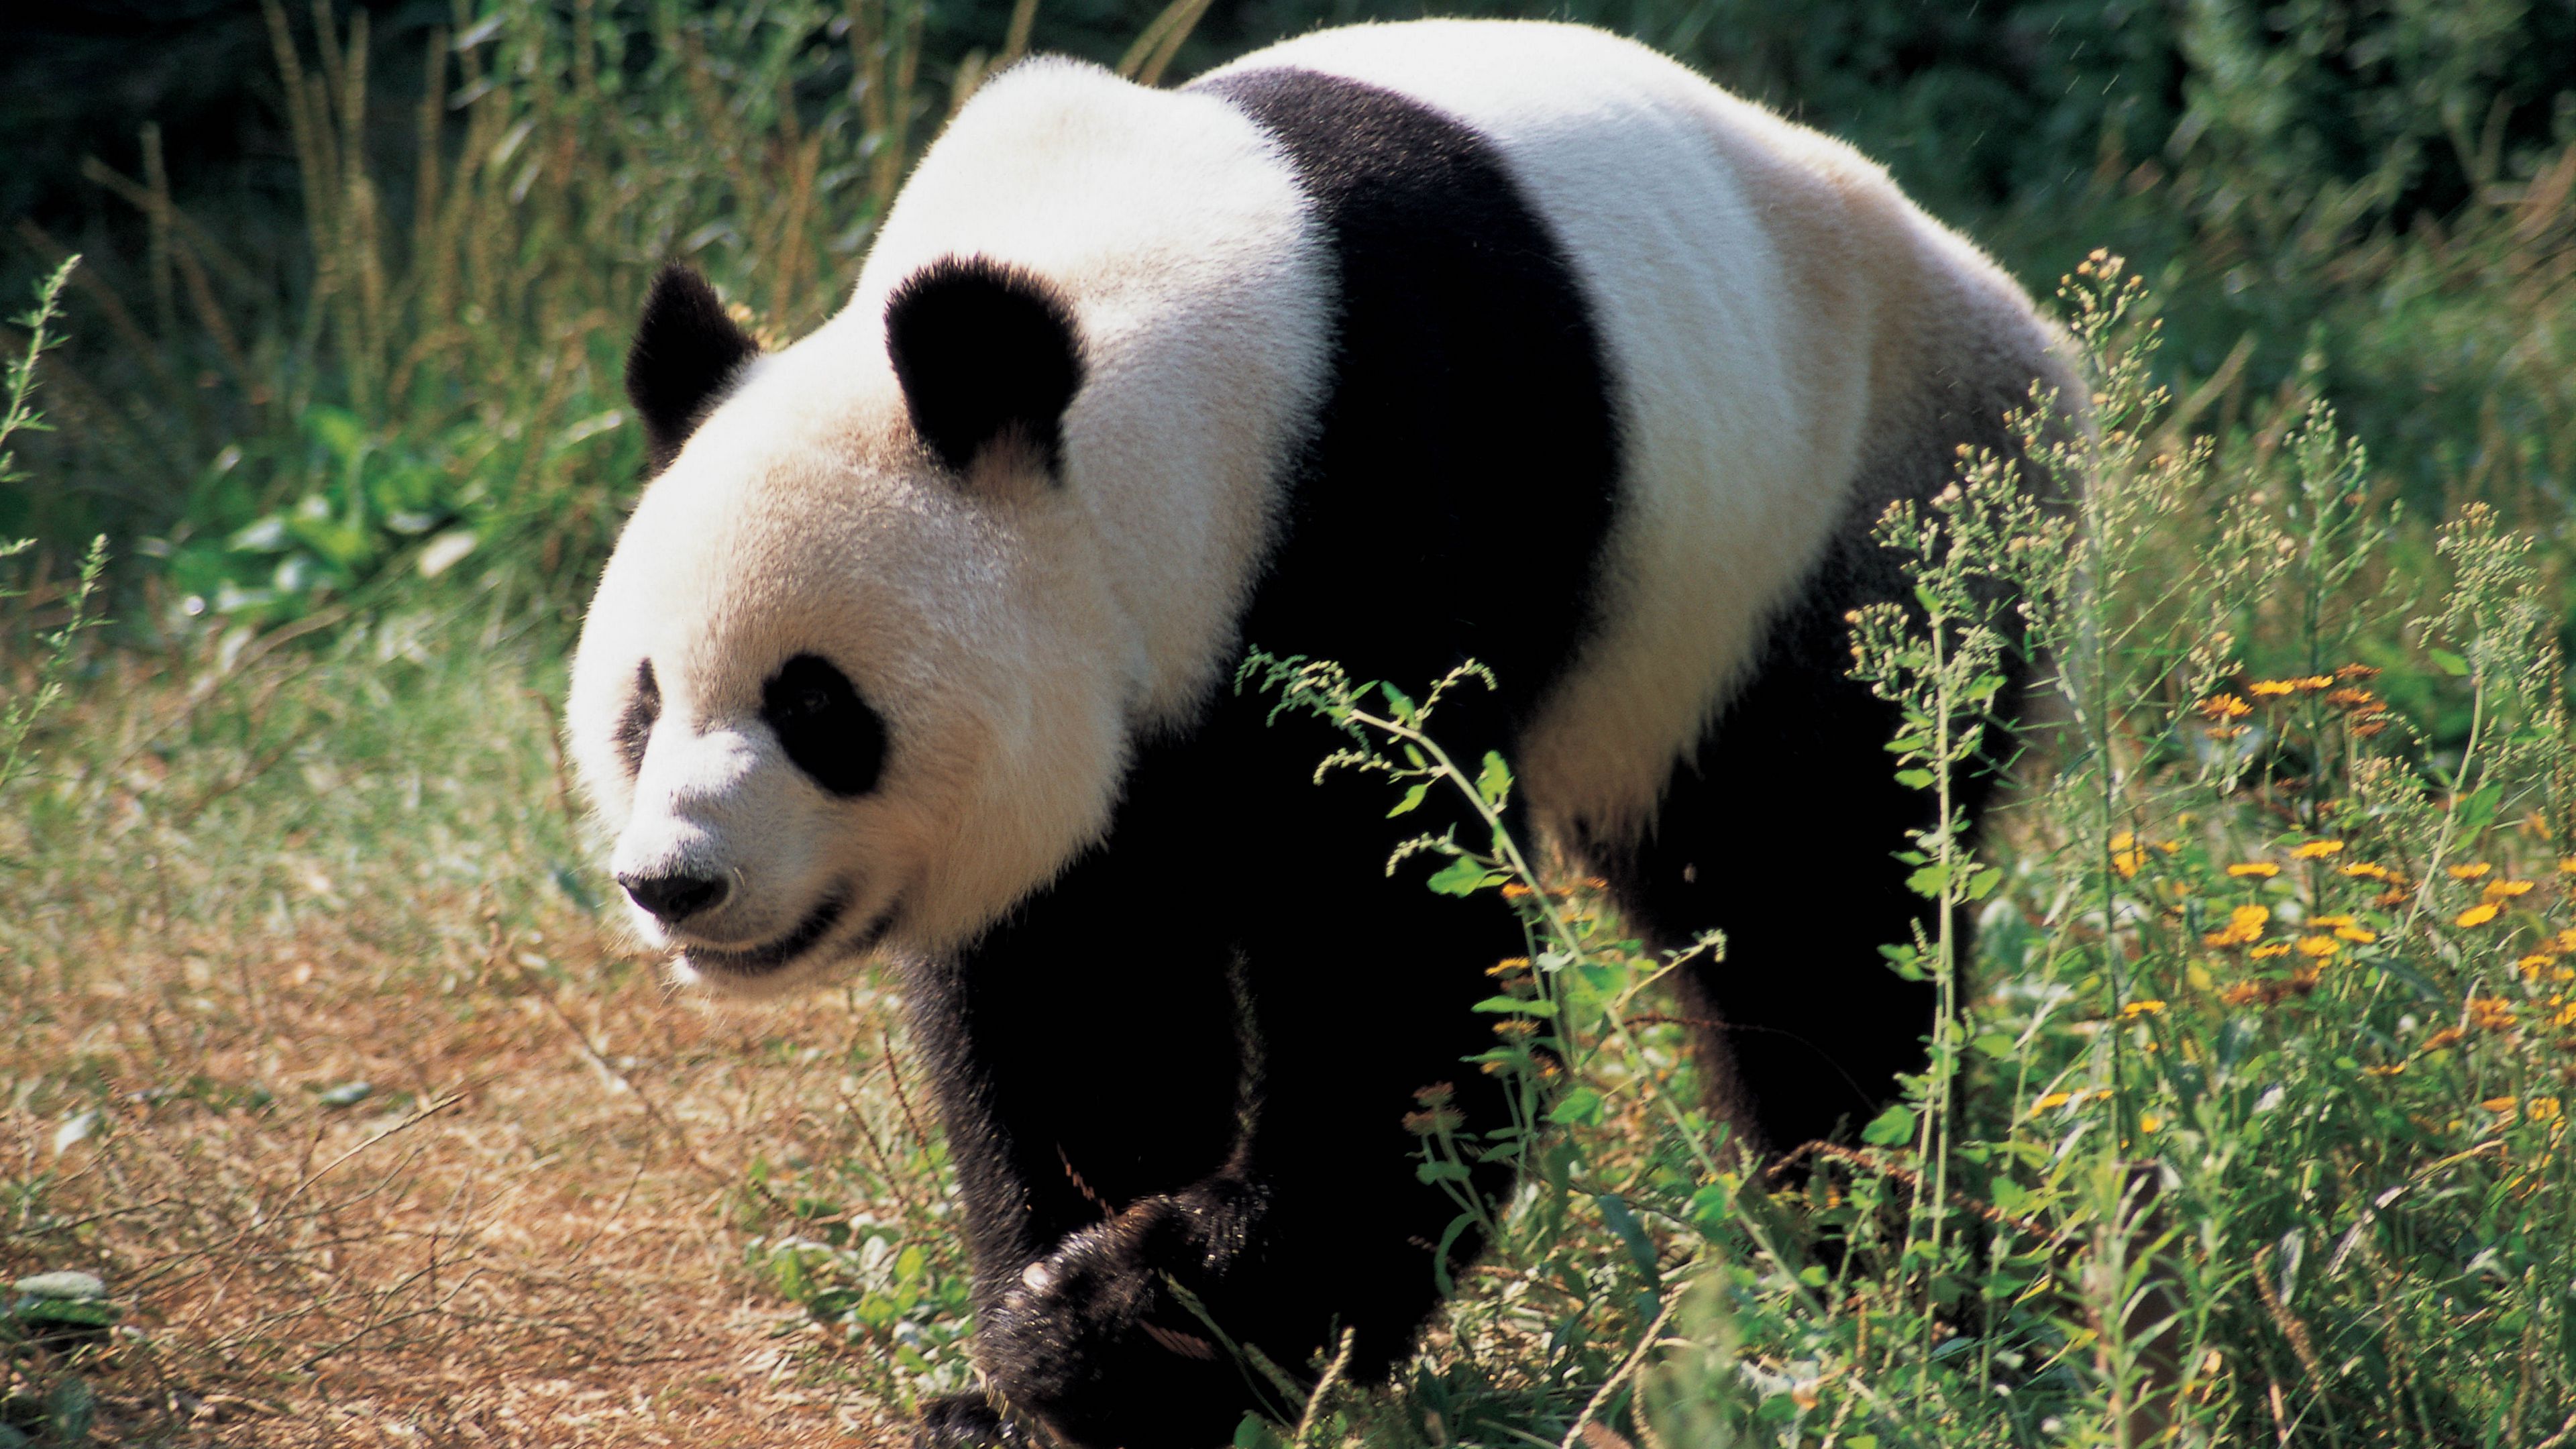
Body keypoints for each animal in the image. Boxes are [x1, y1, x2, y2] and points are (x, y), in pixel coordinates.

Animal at [567, 18, 2078, 1449]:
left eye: (817, 705)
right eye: (643, 706)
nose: (676, 882)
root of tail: (2035, 335)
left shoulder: (1384, 497)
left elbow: (1416, 989)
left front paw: (1119, 1329)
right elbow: (1075, 998)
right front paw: (1025, 1375)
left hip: (1828, 540)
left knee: (1814, 914)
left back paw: (1889, 1278)